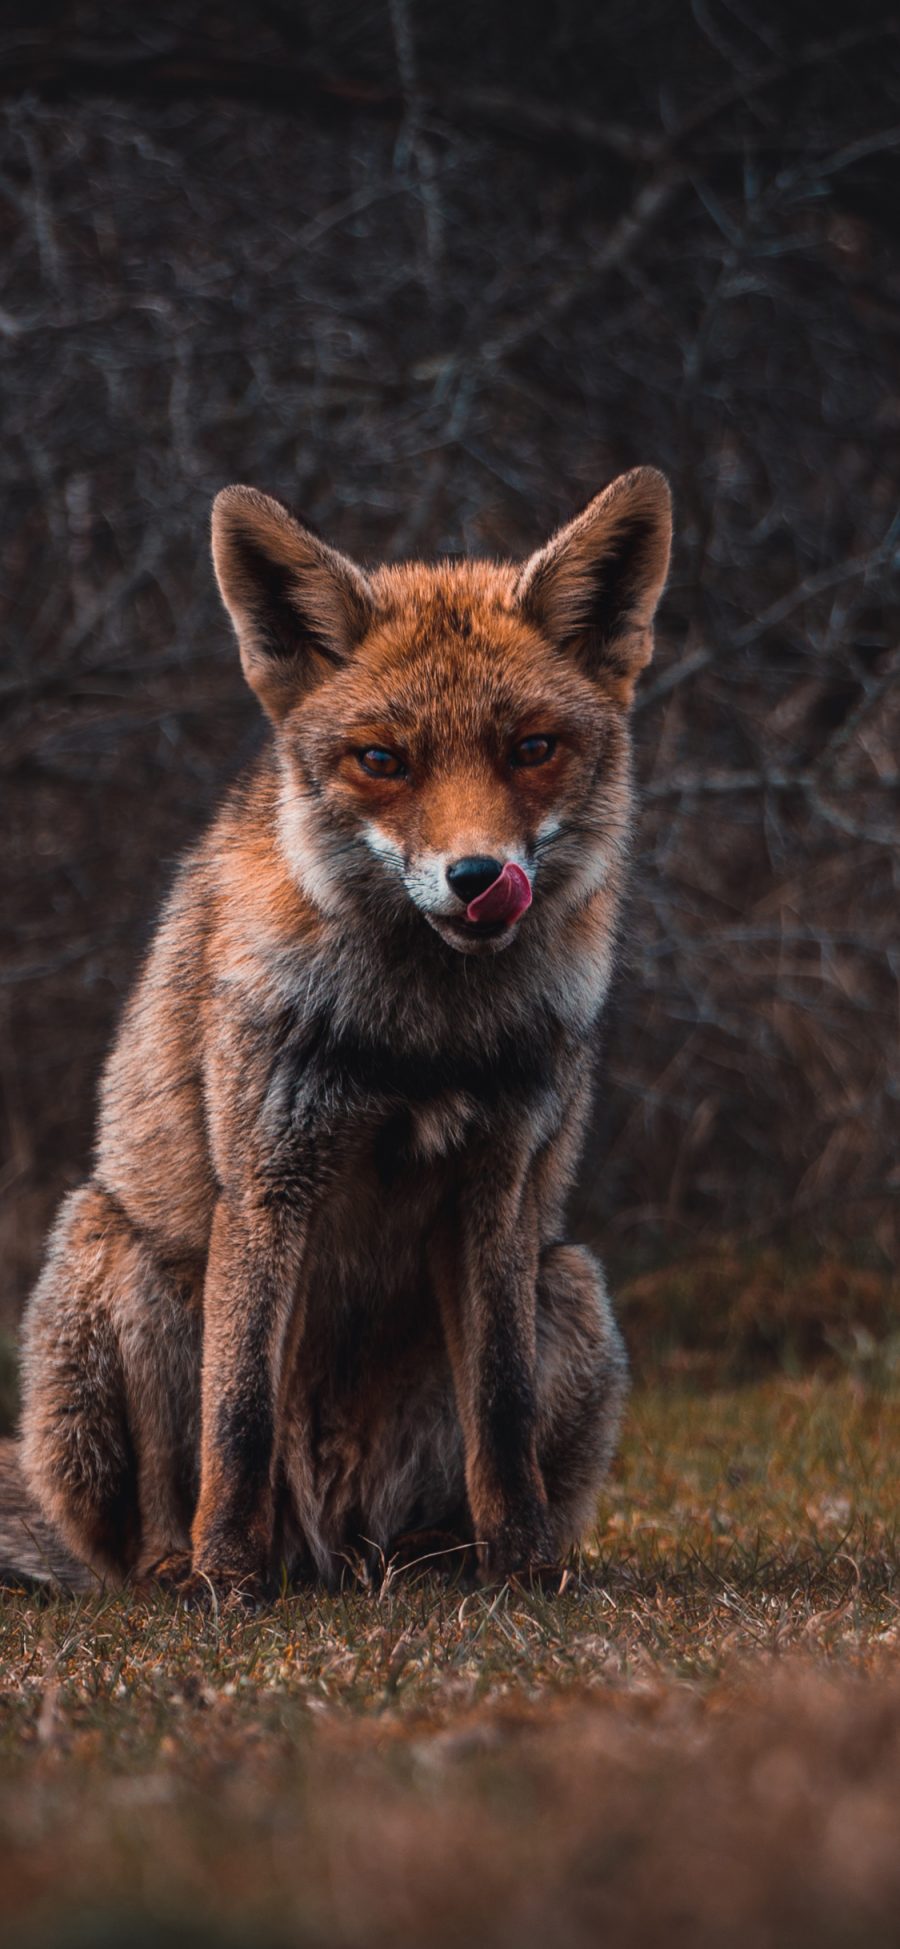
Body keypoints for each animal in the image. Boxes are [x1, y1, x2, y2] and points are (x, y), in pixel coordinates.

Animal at [0, 463, 670, 1590]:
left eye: (532, 749)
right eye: (382, 760)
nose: (479, 876)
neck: (424, 1038)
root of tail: (335, 1552)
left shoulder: (495, 1192)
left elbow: (501, 1413)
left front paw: (525, 1572)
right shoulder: (271, 1179)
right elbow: (239, 1416)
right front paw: (229, 1582)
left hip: (567, 1281)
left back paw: (451, 1558)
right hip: (120, 1254)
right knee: (157, 1513)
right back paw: (188, 1568)